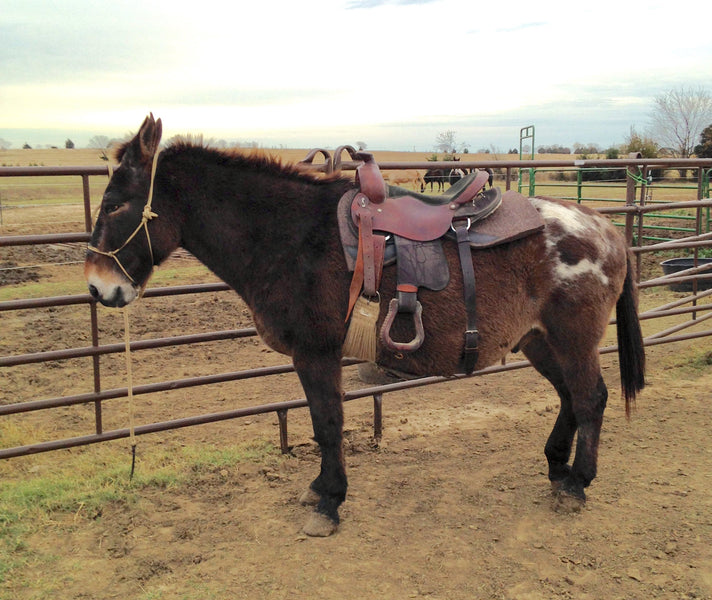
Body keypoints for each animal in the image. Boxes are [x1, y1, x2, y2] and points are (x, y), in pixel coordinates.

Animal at [85, 115, 644, 536]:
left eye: (114, 204)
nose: (96, 287)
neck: (292, 236)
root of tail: (607, 229)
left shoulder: (316, 352)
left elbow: (327, 423)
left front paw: (329, 502)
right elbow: (320, 423)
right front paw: (320, 489)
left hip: (573, 339)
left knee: (590, 398)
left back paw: (577, 484)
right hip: (539, 341)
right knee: (570, 396)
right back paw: (557, 467)